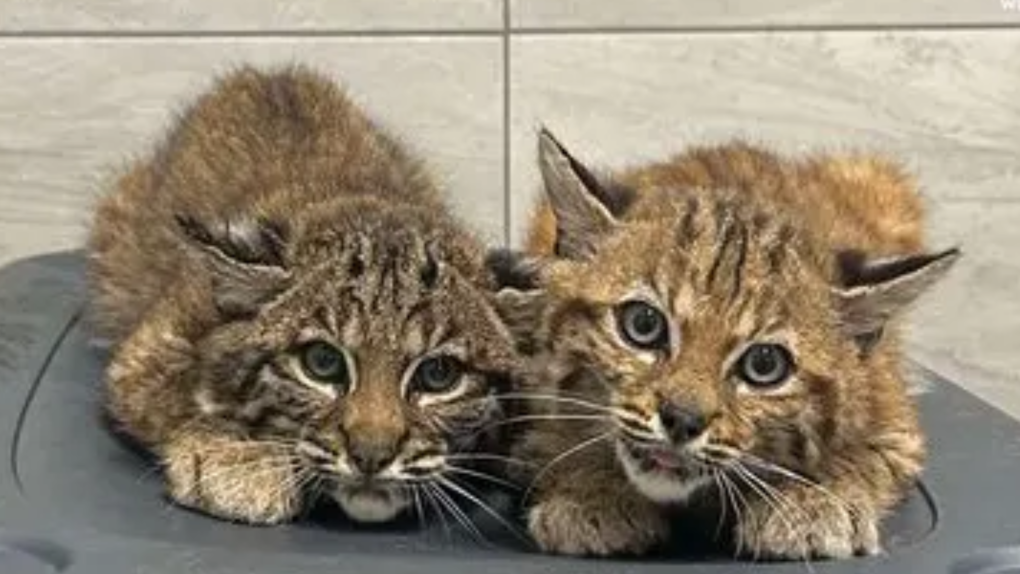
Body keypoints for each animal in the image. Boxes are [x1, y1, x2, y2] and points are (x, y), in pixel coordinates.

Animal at [86, 66, 518, 526]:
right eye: (322, 363)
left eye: (438, 374)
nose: (371, 457)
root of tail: (267, 73)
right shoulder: (143, 354)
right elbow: (170, 399)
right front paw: (240, 461)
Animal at [505, 128, 958, 558]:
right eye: (643, 324)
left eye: (764, 365)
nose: (682, 420)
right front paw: (592, 493)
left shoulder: (897, 424)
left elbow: (864, 454)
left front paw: (810, 502)